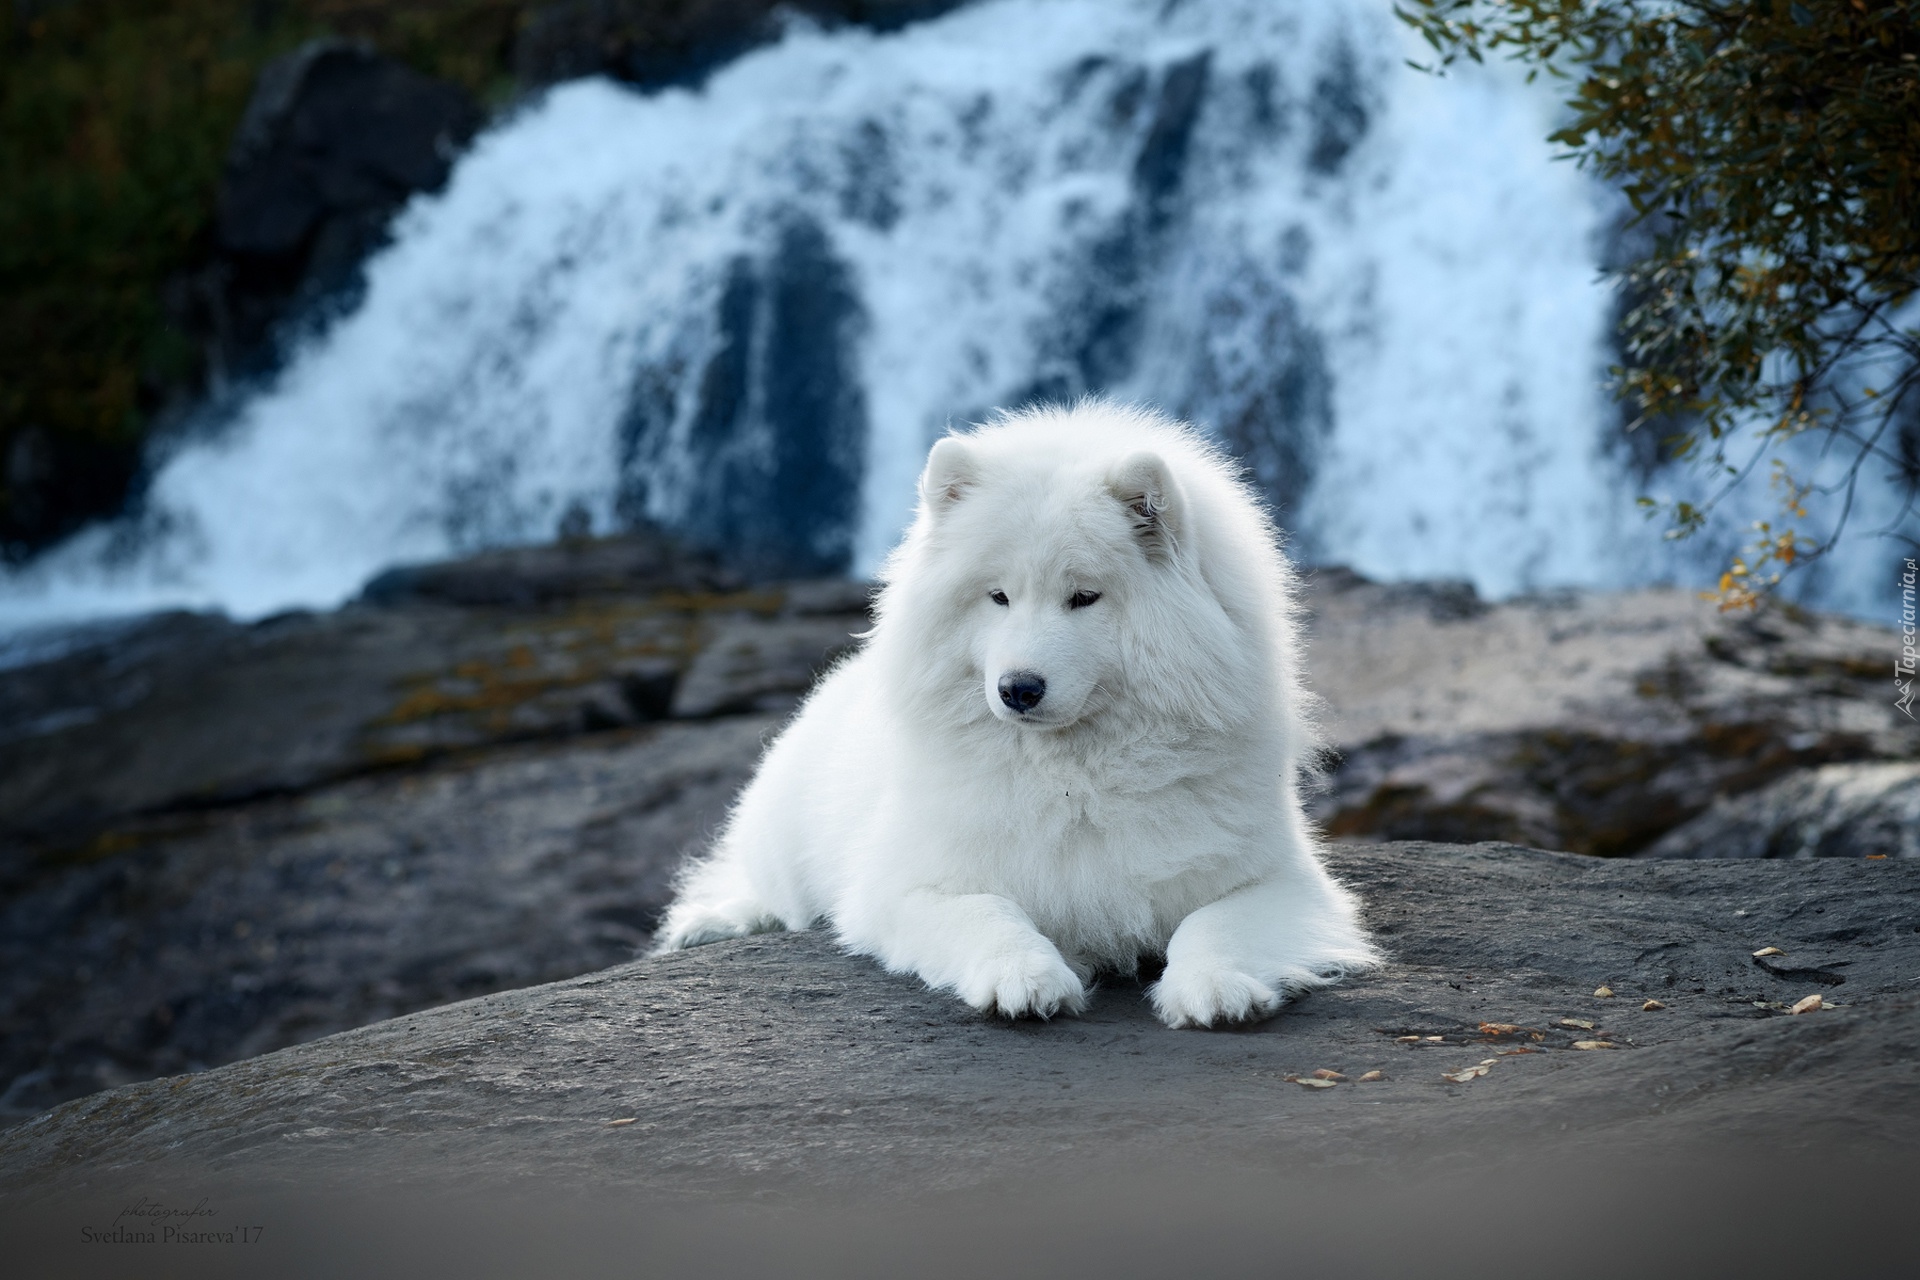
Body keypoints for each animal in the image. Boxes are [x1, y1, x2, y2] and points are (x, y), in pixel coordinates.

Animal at [660, 402, 1382, 1028]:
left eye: (1084, 597)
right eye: (998, 596)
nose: (1018, 689)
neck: (1074, 777)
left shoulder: (1280, 881)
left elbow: (1215, 923)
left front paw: (1215, 985)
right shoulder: (905, 887)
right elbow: (987, 911)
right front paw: (1025, 978)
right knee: (758, 887)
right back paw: (711, 923)